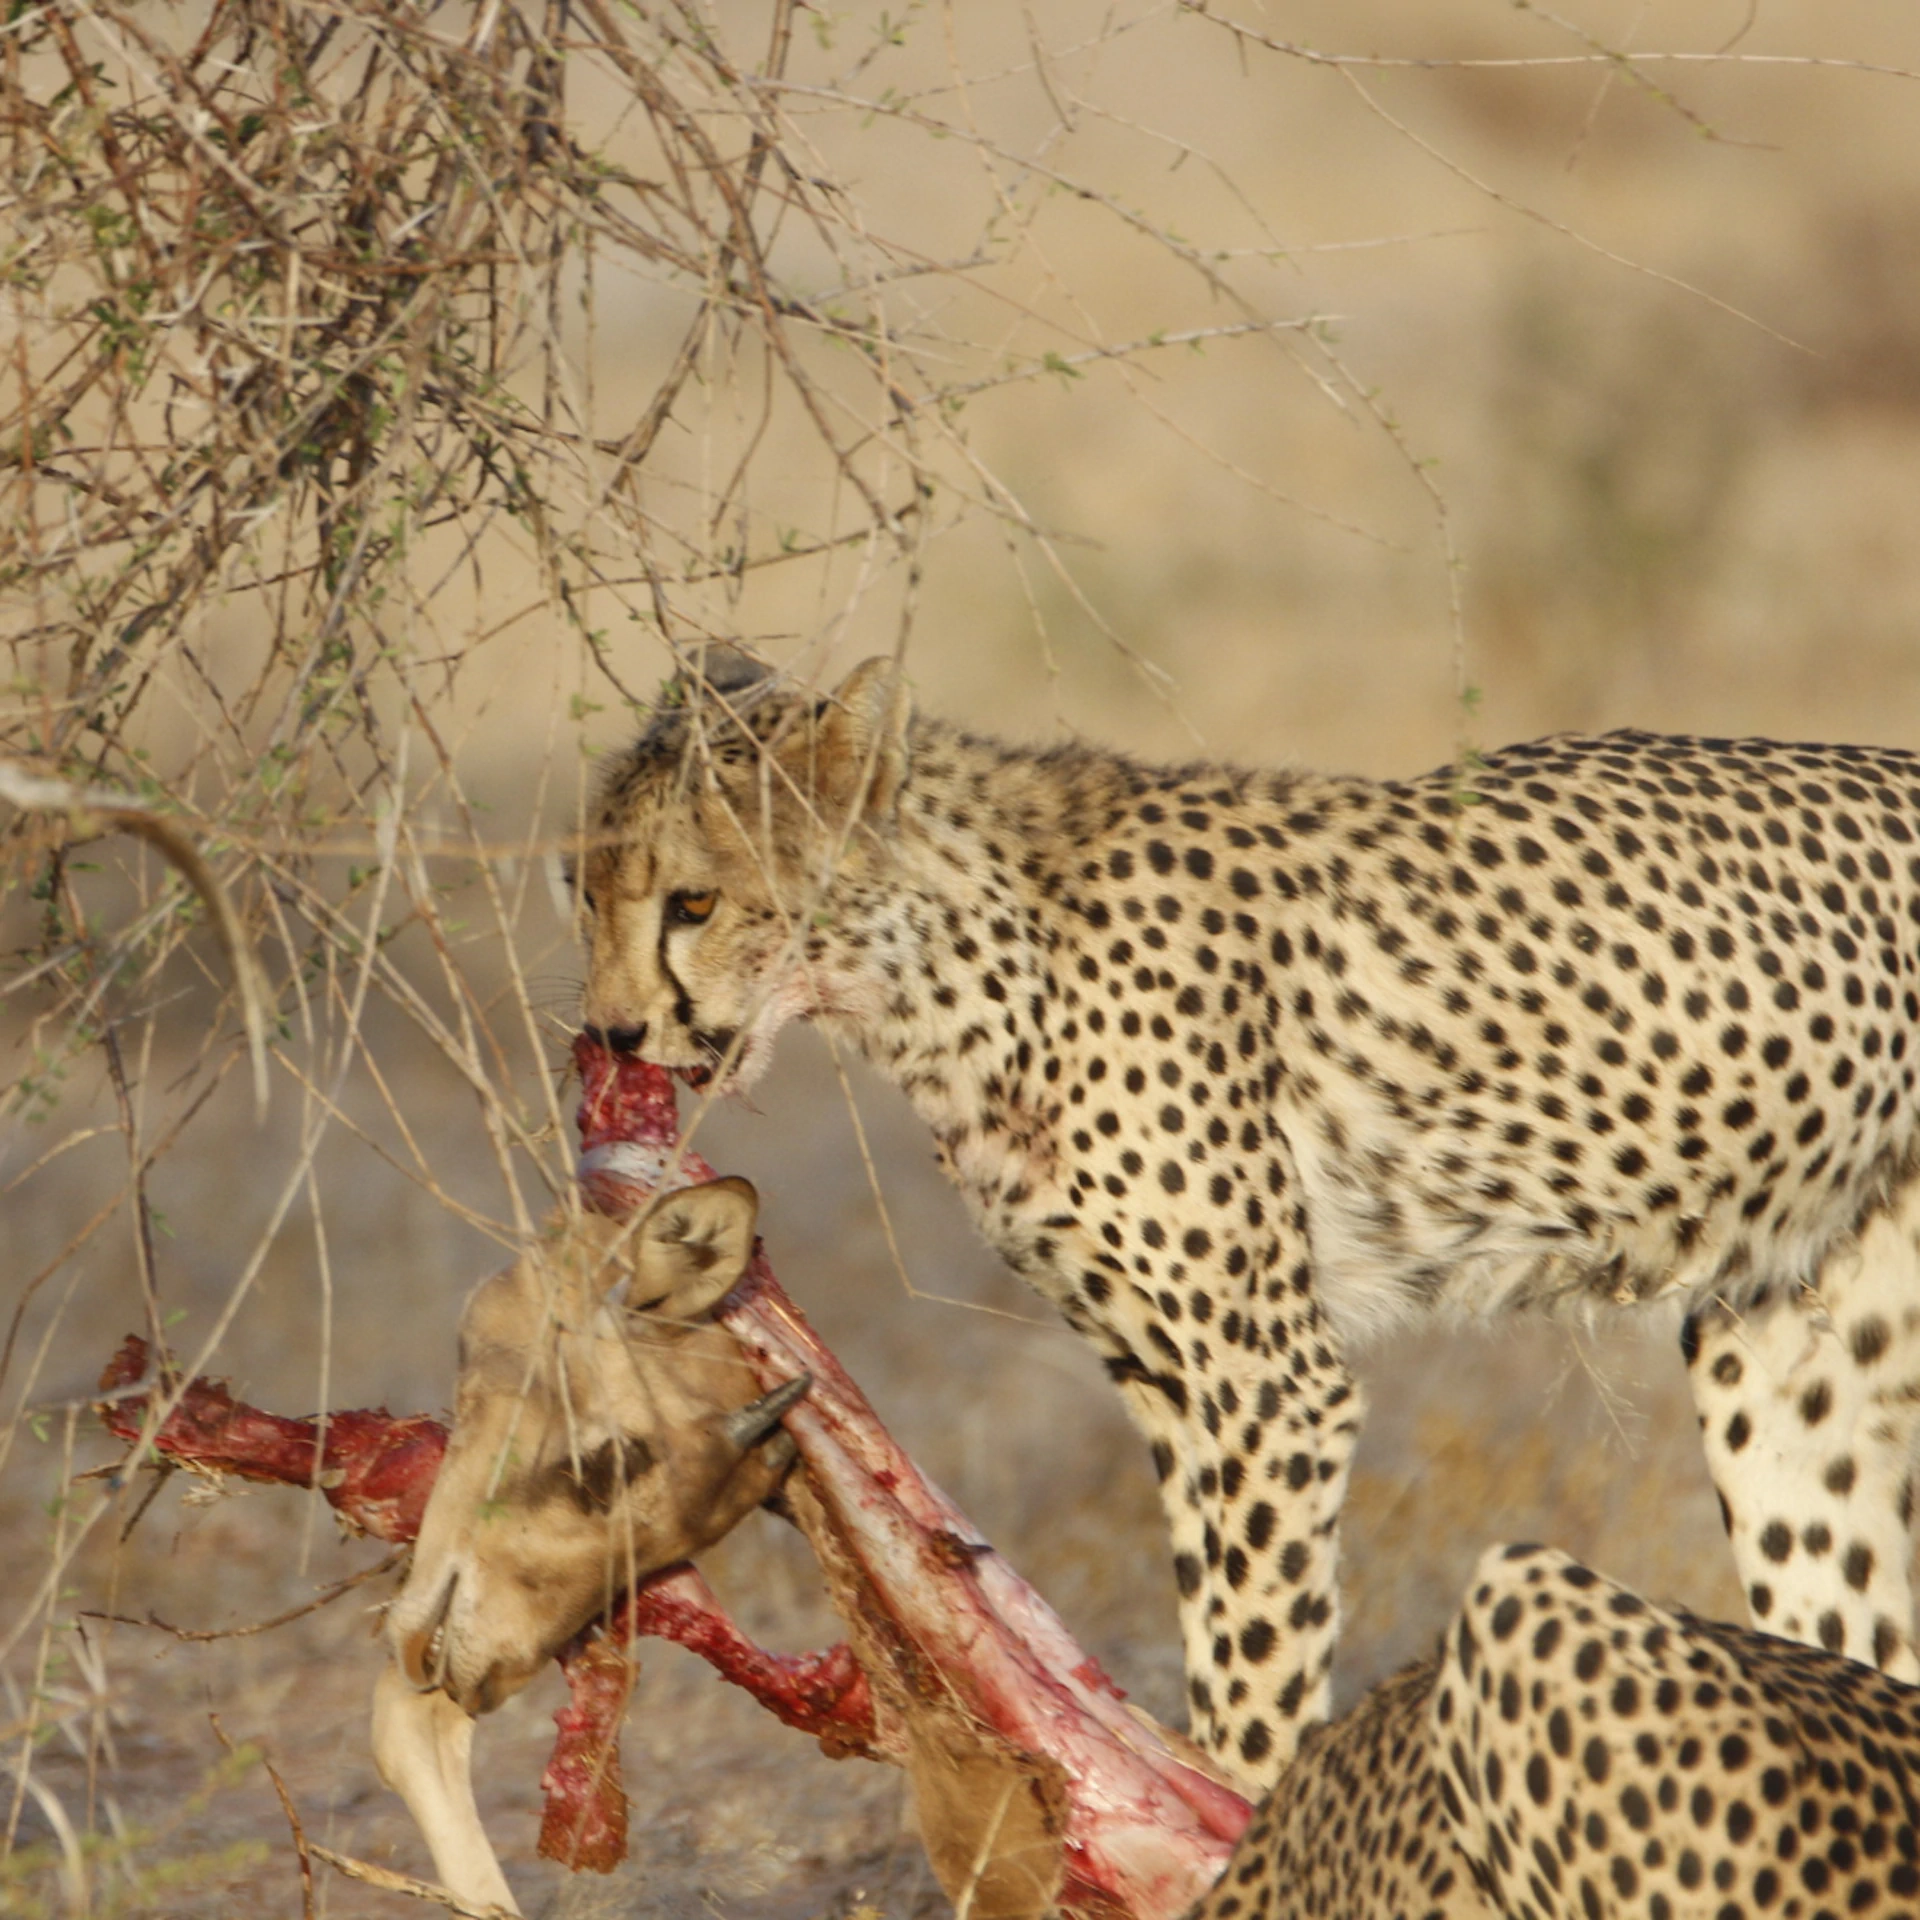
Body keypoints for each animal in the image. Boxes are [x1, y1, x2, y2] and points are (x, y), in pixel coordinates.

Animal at [577, 646, 1920, 1789]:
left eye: (693, 902)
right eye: (579, 892)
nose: (615, 1033)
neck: (945, 966)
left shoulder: (1269, 1380)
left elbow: (1257, 1657)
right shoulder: (1166, 1379)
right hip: (1788, 1364)